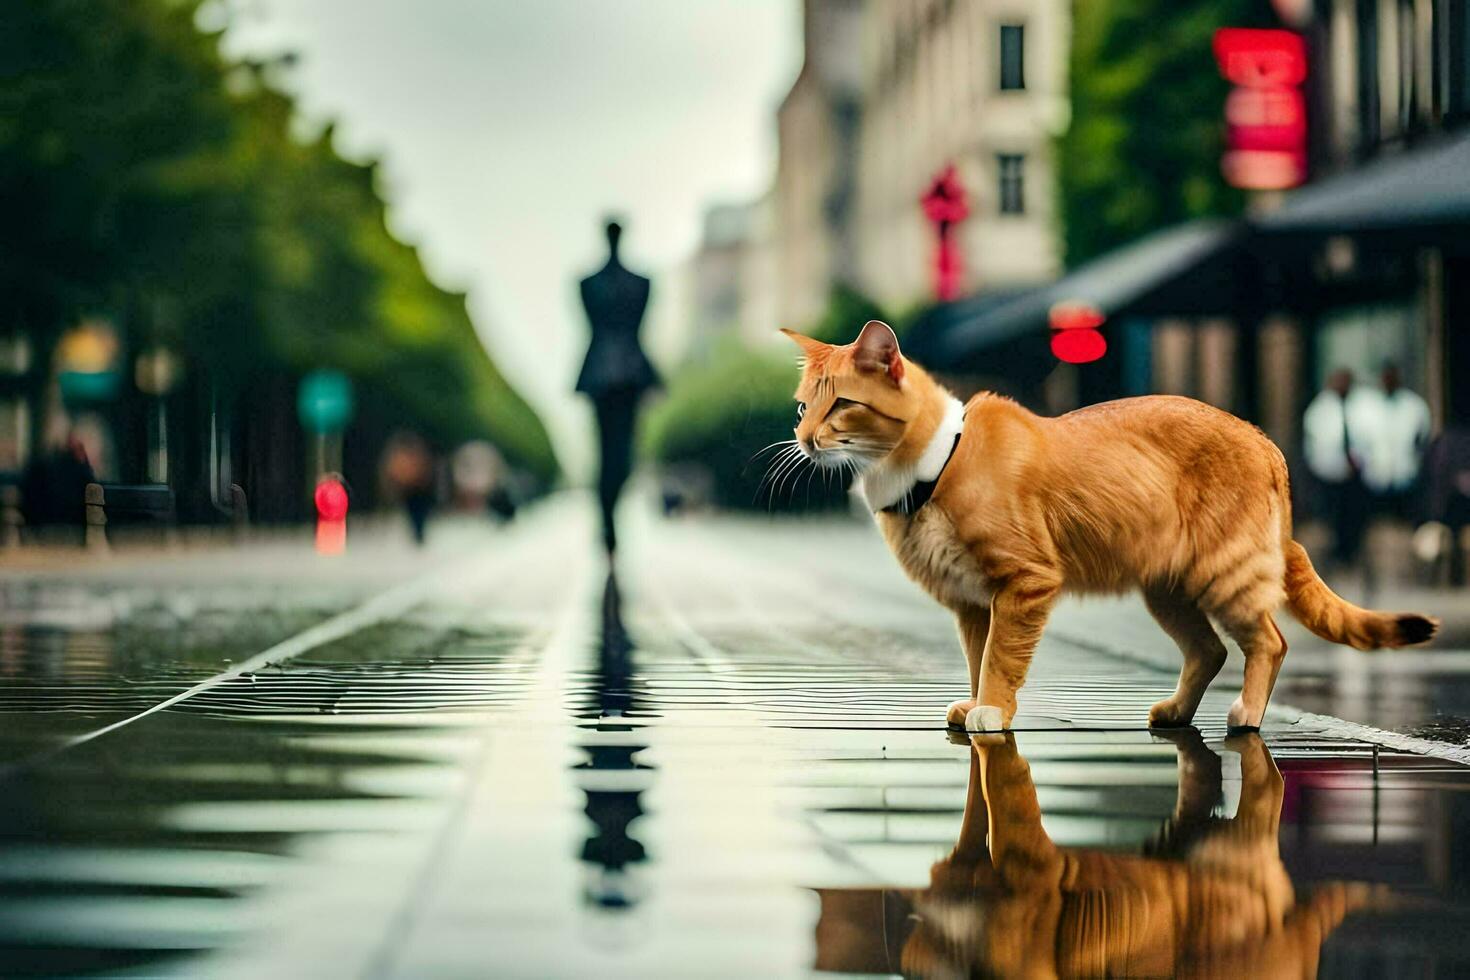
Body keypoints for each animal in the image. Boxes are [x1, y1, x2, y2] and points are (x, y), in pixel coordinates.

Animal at [782, 321, 1434, 728]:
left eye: (843, 406)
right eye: (804, 406)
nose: (805, 438)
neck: (933, 465)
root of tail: (1265, 440)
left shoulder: (1023, 584)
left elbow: (1000, 659)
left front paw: (992, 712)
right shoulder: (972, 602)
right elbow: (976, 658)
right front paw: (973, 707)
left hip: (1224, 574)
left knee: (1268, 642)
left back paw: (1247, 717)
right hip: (1168, 589)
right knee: (1209, 651)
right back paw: (1176, 712)